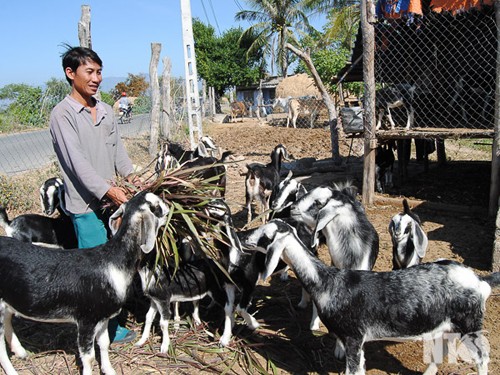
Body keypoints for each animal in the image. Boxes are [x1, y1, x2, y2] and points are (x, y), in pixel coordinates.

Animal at [0, 191, 169, 375]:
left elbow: (104, 343)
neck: (112, 260)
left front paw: (109, 370)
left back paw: (20, 351)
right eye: (156, 206)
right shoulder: (87, 319)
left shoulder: (103, 317)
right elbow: (88, 357)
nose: (169, 208)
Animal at [241, 220, 496, 375]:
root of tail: (479, 281)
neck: (328, 283)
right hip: (447, 327)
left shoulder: (353, 337)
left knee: (482, 356)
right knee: (441, 352)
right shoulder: (350, 340)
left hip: (470, 324)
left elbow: (354, 370)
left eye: (265, 235)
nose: (244, 237)